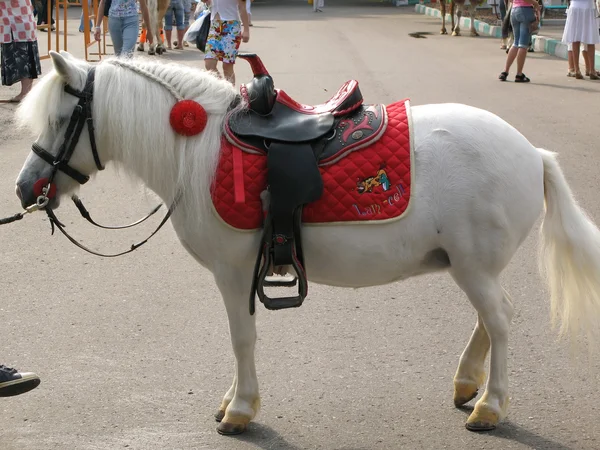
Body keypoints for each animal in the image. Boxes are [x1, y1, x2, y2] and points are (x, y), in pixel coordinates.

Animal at [11, 50, 600, 436]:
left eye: (61, 119)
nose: (25, 188)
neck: (197, 150)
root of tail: (532, 153)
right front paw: (233, 400)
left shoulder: (233, 273)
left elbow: (242, 339)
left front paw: (241, 408)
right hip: (469, 265)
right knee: (491, 318)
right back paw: (466, 383)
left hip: (474, 267)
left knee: (499, 321)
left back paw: (490, 405)